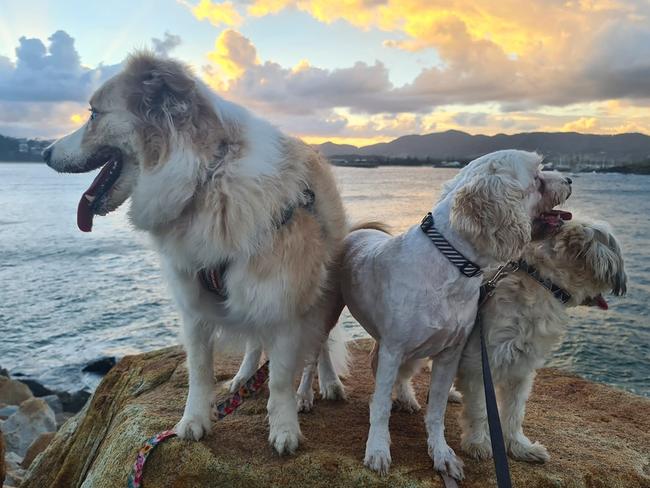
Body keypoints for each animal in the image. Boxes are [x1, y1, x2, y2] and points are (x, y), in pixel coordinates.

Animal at [43, 53, 346, 454]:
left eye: (93, 114)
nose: (42, 152)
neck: (206, 180)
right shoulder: (195, 303)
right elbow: (200, 372)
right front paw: (194, 421)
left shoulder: (283, 303)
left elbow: (282, 379)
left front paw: (284, 429)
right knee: (254, 341)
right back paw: (244, 377)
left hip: (320, 297)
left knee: (317, 351)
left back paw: (318, 387)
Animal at [332, 151, 568, 478]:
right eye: (536, 177)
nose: (569, 179)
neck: (451, 264)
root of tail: (359, 231)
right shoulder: (394, 349)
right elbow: (379, 406)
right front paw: (377, 449)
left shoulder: (449, 354)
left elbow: (437, 410)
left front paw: (441, 453)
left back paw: (406, 397)